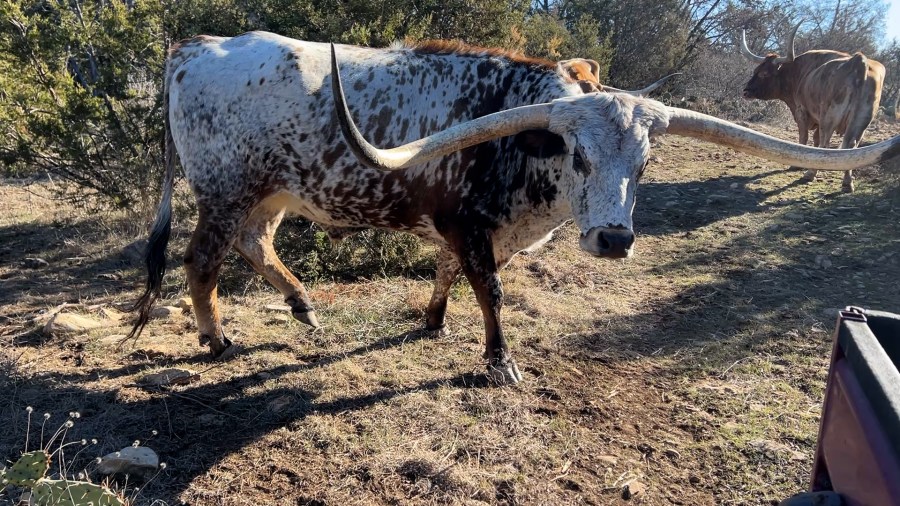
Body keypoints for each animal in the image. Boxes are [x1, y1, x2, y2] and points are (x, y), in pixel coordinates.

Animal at [740, 21, 884, 193]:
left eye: (764, 73)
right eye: (756, 70)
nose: (746, 91)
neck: (799, 72)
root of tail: (859, 61)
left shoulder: (802, 111)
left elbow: (804, 138)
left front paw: (796, 165)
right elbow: (814, 140)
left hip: (830, 117)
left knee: (825, 145)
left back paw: (810, 174)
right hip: (861, 122)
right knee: (851, 147)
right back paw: (847, 183)